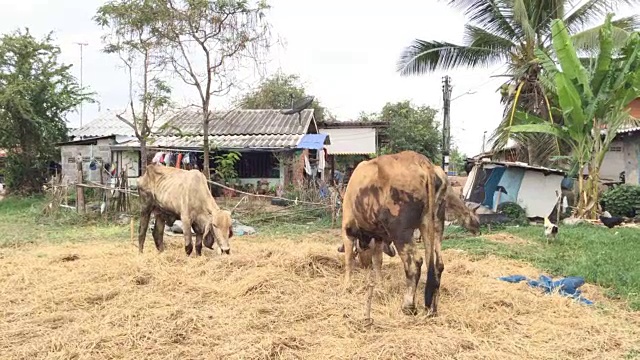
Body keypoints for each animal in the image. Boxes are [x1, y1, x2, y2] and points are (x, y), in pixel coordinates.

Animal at [342, 150, 478, 316]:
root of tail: (424, 163)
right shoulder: (379, 237)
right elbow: (377, 261)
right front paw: (380, 286)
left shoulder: (347, 229)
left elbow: (349, 260)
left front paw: (347, 286)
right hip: (434, 224)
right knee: (437, 263)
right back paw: (432, 309)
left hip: (401, 231)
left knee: (414, 263)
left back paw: (408, 306)